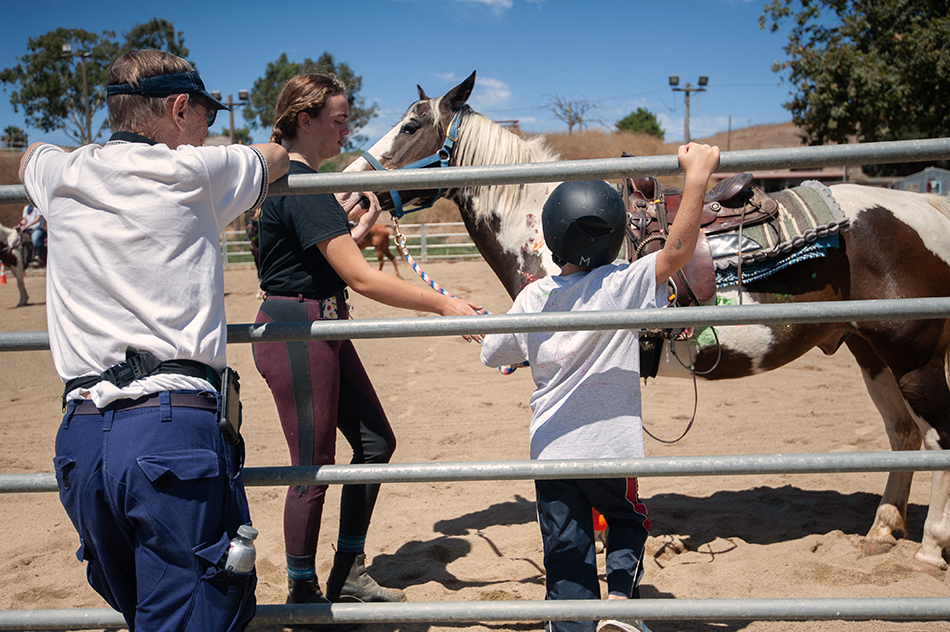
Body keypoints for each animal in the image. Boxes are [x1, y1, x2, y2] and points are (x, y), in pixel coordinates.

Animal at [352, 71, 950, 572]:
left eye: (410, 125)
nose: (353, 186)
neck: (554, 234)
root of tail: (925, 211)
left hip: (914, 358)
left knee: (936, 437)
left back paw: (929, 550)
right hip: (870, 352)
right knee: (902, 434)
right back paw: (881, 532)